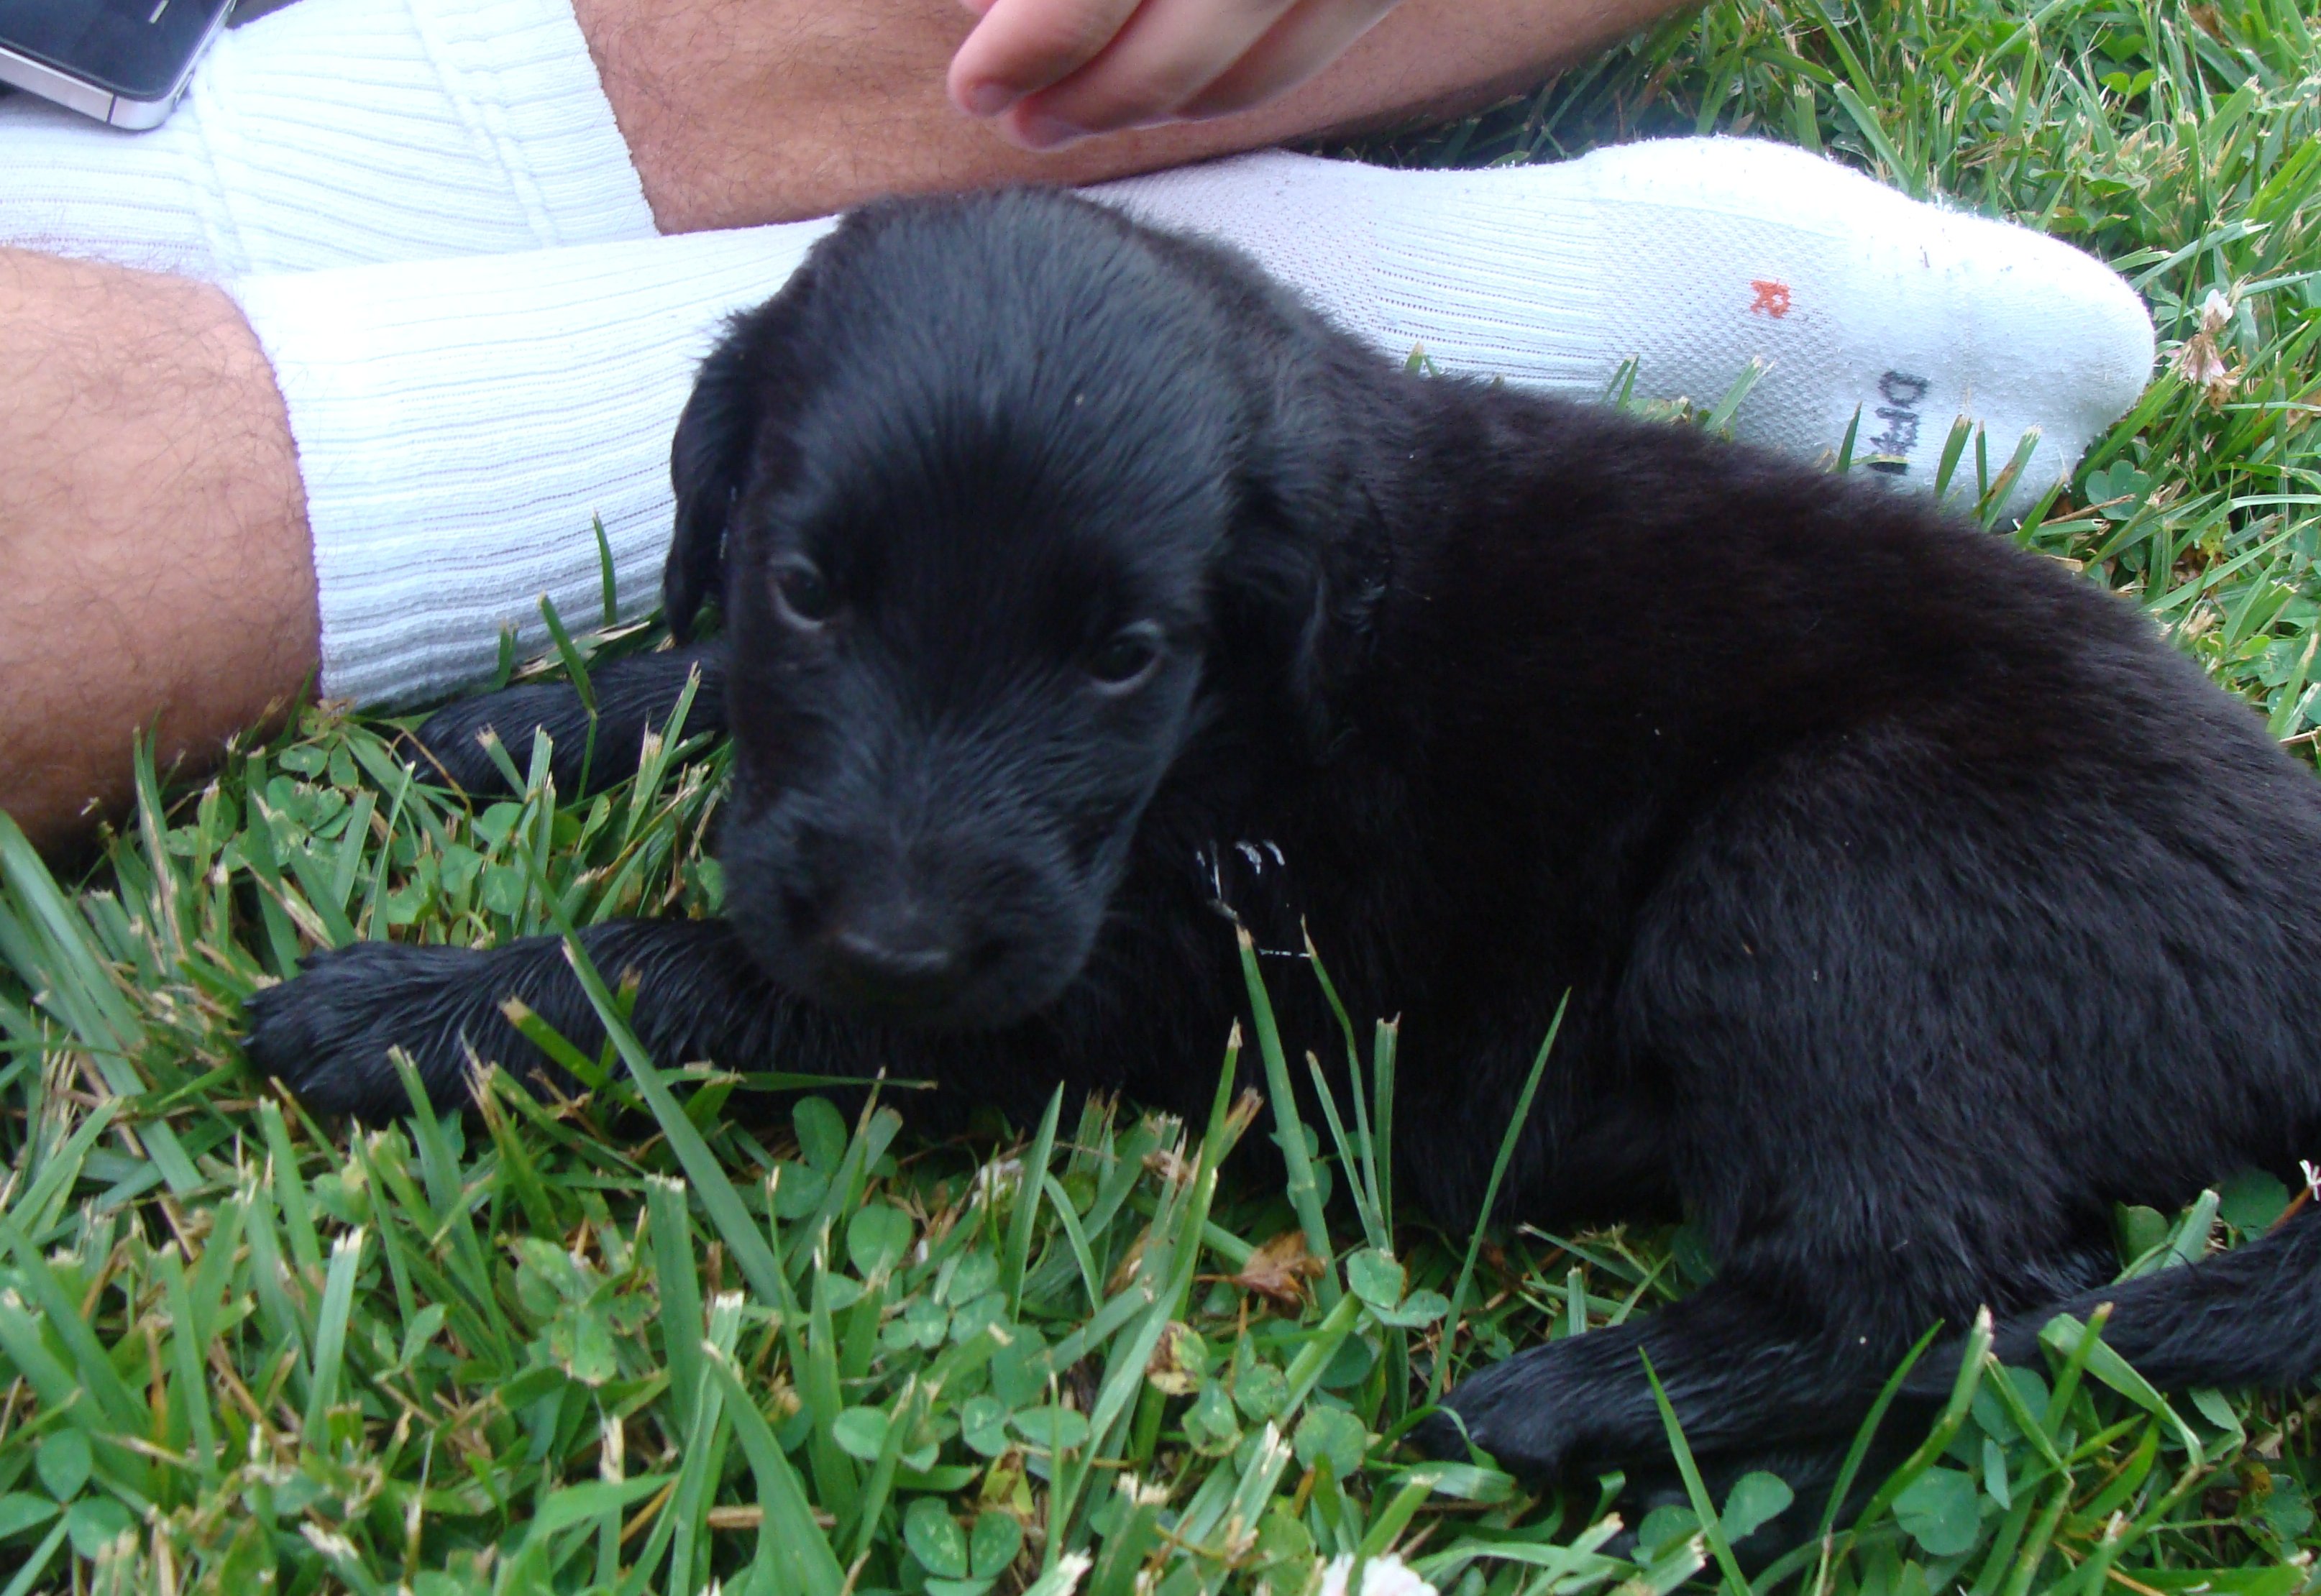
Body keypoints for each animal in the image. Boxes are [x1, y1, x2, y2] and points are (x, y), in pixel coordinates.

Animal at [245, 187, 2321, 1500]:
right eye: (805, 587)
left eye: (1121, 653)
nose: (900, 942)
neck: (1258, 669)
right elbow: (696, 700)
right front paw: (532, 716)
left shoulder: (1116, 972)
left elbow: (693, 965)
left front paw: (420, 1007)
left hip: (1824, 878)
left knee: (1935, 1286)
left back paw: (1564, 1408)